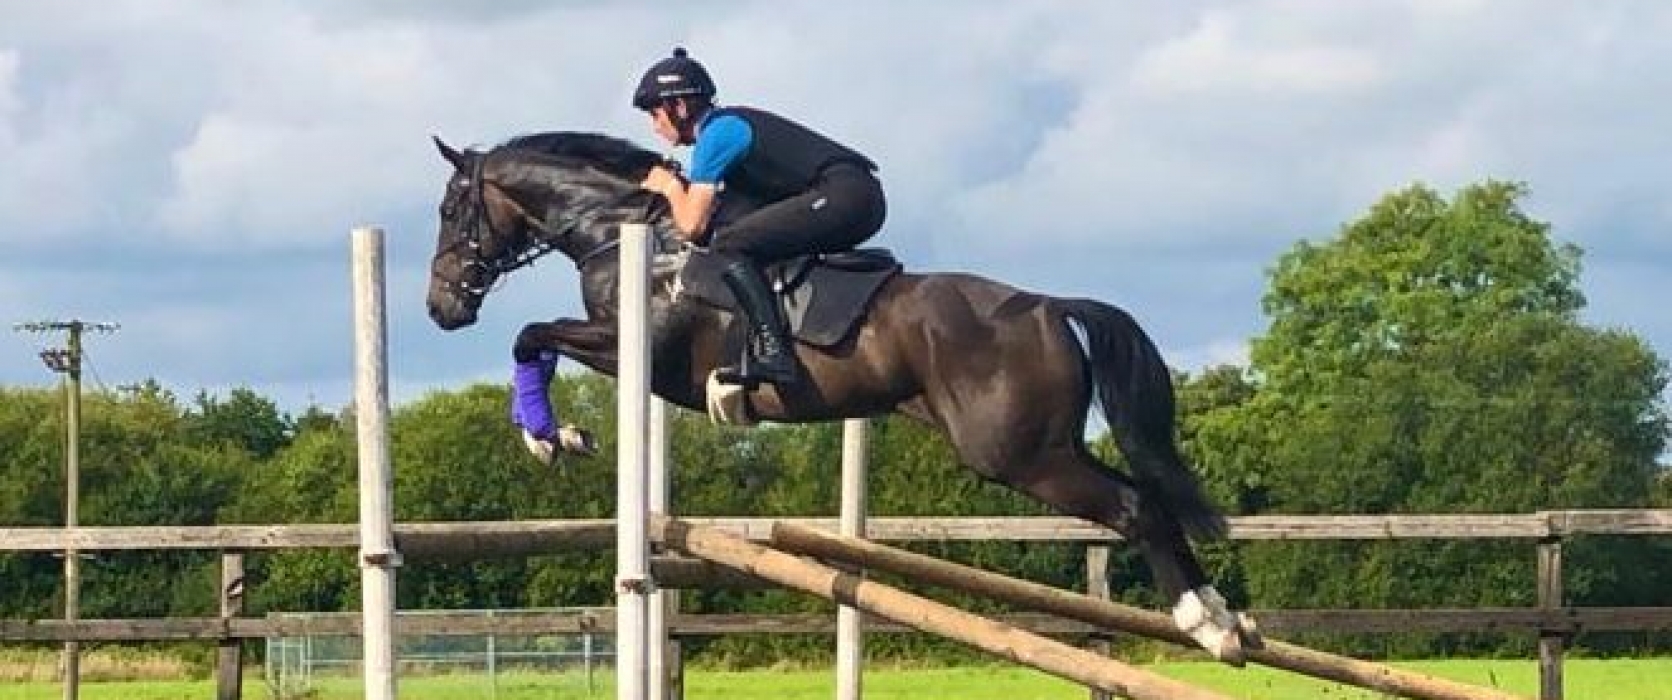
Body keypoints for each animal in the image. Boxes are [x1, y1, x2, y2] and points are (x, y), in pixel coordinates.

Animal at [424, 131, 1259, 661]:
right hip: (1049, 445)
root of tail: (1049, 306)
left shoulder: (639, 353)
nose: (441, 308)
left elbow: (530, 335)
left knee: (1134, 507)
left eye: (449, 210)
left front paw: (549, 436)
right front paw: (554, 435)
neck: (628, 231)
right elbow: (535, 338)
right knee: (1149, 496)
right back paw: (1231, 619)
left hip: (1016, 455)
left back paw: (1207, 626)